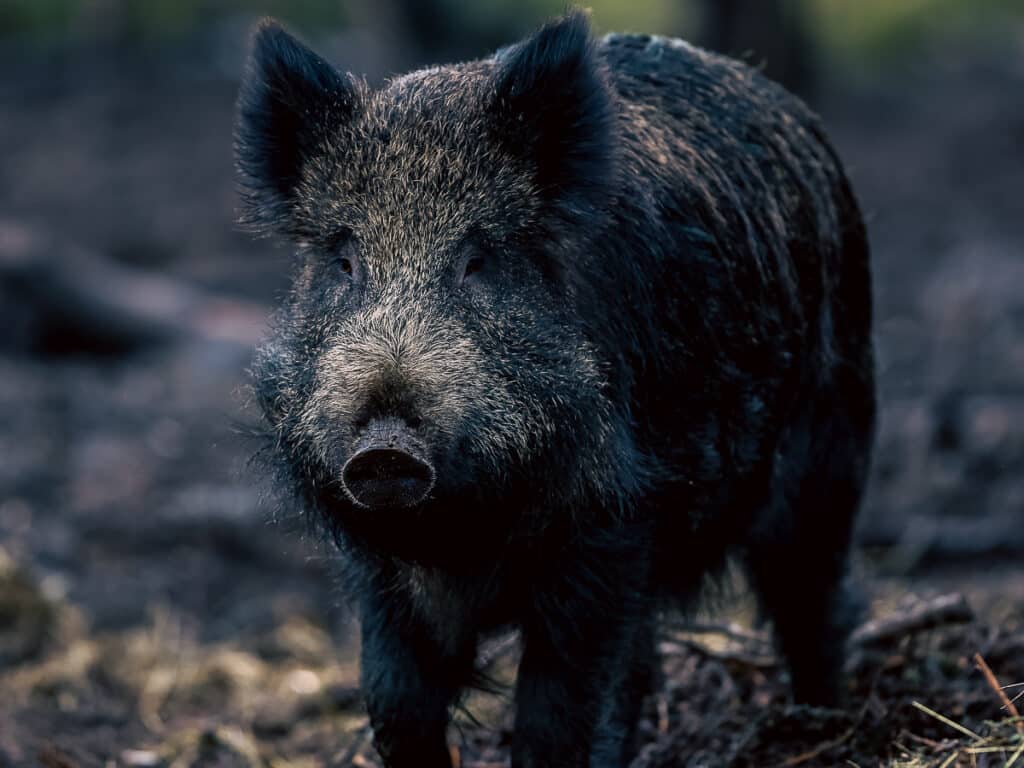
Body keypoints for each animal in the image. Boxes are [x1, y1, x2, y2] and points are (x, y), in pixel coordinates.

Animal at [235, 10, 875, 767]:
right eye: (344, 260)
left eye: (479, 259)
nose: (385, 449)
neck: (461, 528)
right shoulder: (373, 564)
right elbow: (394, 699)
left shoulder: (616, 521)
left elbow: (561, 711)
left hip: (832, 436)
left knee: (814, 596)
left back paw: (823, 723)